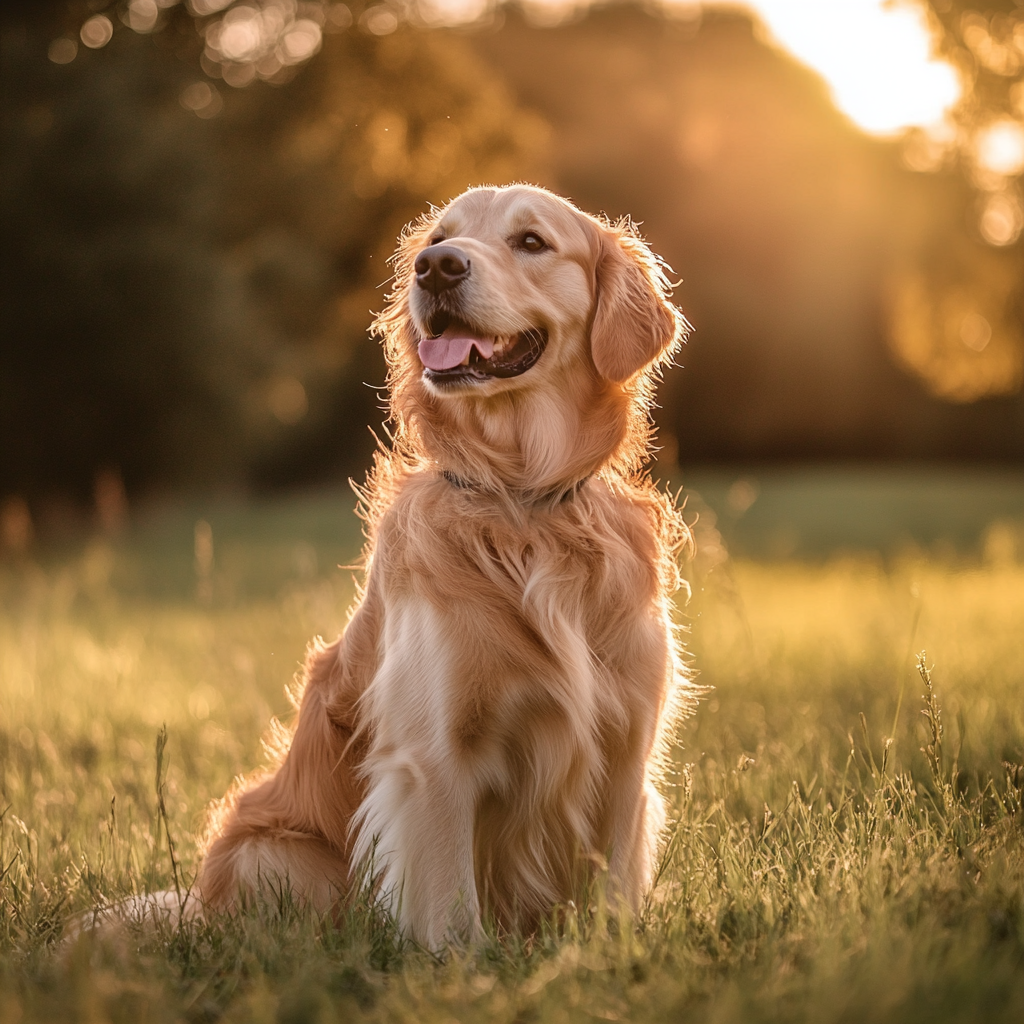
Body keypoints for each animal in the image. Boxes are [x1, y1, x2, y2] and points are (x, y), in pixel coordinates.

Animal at [193, 186, 696, 950]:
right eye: (437, 238)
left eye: (531, 241)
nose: (435, 269)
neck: (523, 505)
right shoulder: (432, 758)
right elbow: (453, 908)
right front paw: (464, 967)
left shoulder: (628, 747)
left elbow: (612, 886)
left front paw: (612, 952)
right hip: (272, 853)